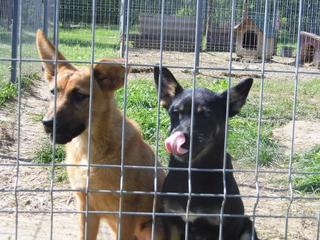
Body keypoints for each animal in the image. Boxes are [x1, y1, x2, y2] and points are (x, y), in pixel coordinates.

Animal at [36, 30, 164, 240]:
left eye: (79, 95)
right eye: (53, 92)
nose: (47, 123)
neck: (89, 148)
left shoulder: (125, 215)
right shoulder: (86, 207)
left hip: (152, 227)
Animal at [154, 66, 258, 240]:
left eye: (206, 115)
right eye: (175, 112)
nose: (181, 137)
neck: (194, 173)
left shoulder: (225, 226)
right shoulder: (172, 221)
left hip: (248, 227)